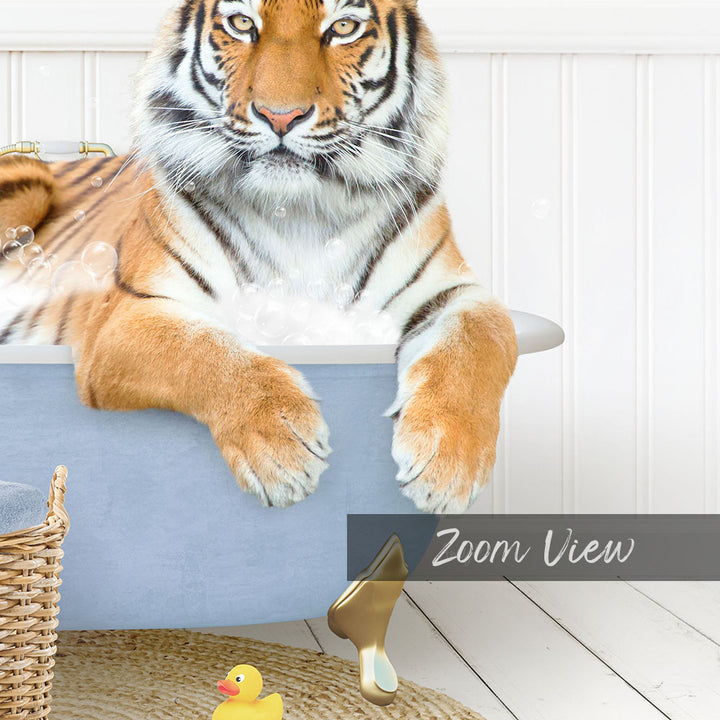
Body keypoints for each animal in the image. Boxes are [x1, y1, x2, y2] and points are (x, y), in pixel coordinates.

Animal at [0, 0, 518, 513]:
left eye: (343, 27)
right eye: (242, 23)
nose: (281, 116)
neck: (301, 213)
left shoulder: (453, 291)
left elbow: (480, 339)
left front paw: (447, 464)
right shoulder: (125, 315)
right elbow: (205, 349)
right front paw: (282, 449)